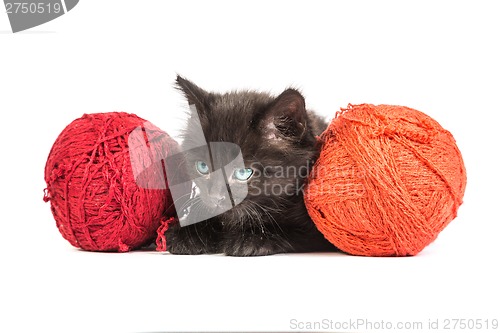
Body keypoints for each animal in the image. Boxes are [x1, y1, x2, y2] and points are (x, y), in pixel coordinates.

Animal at [167, 76, 336, 255]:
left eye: (243, 173)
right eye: (203, 167)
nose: (215, 197)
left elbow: (292, 230)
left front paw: (250, 237)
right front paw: (188, 233)